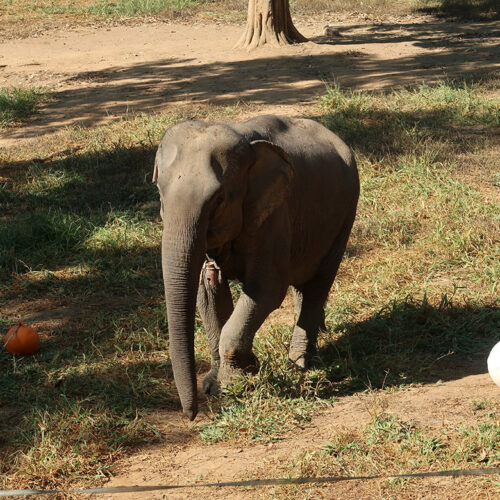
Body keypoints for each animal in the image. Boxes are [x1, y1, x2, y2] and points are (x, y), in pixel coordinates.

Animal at [153, 115, 360, 420]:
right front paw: (217, 382)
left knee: (320, 281)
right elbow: (208, 291)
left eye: (218, 200)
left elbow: (267, 290)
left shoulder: (273, 214)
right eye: (159, 193)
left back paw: (301, 361)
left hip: (346, 213)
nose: (190, 415)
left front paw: (235, 382)